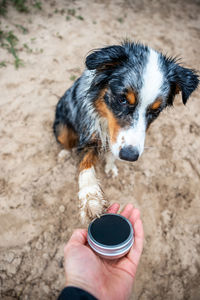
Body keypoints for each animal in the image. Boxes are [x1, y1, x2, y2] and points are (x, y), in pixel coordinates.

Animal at [53, 41, 198, 223]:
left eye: (155, 111)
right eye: (122, 99)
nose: (130, 156)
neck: (106, 118)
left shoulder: (116, 139)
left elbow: (111, 152)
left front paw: (110, 167)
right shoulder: (89, 133)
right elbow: (85, 163)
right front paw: (90, 198)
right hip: (62, 127)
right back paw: (65, 153)